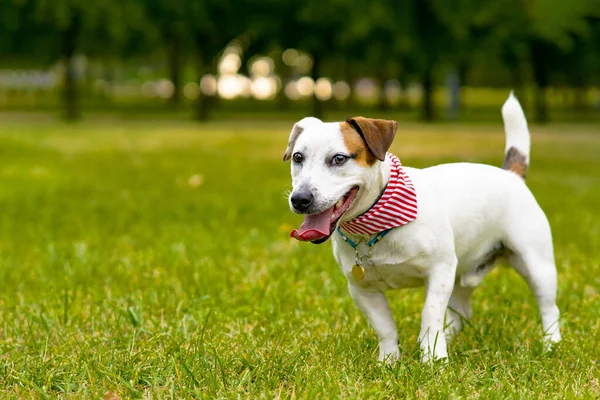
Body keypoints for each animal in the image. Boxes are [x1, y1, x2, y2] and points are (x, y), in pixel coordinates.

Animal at [284, 94, 560, 362]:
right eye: (298, 157)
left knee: (549, 307)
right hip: (462, 274)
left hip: (537, 265)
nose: (300, 199)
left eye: (339, 158)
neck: (373, 228)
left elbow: (430, 315)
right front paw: (389, 361)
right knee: (461, 312)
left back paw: (551, 345)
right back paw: (447, 339)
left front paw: (433, 359)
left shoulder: (440, 271)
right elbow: (385, 327)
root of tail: (511, 175)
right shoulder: (362, 288)